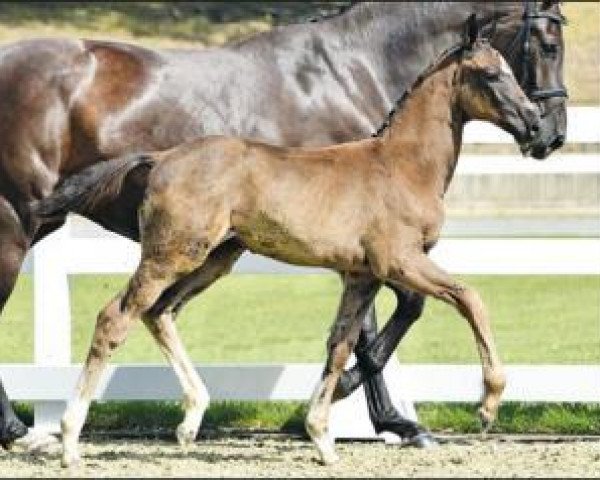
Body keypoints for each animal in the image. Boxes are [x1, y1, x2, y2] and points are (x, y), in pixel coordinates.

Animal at [0, 1, 564, 448]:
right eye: (544, 44)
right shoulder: (395, 260)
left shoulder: (362, 270)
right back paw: (47, 434)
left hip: (213, 256)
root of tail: (160, 158)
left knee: (158, 313)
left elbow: (349, 338)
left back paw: (187, 419)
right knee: (115, 316)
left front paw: (346, 417)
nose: (543, 131)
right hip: (93, 240)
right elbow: (461, 300)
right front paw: (479, 405)